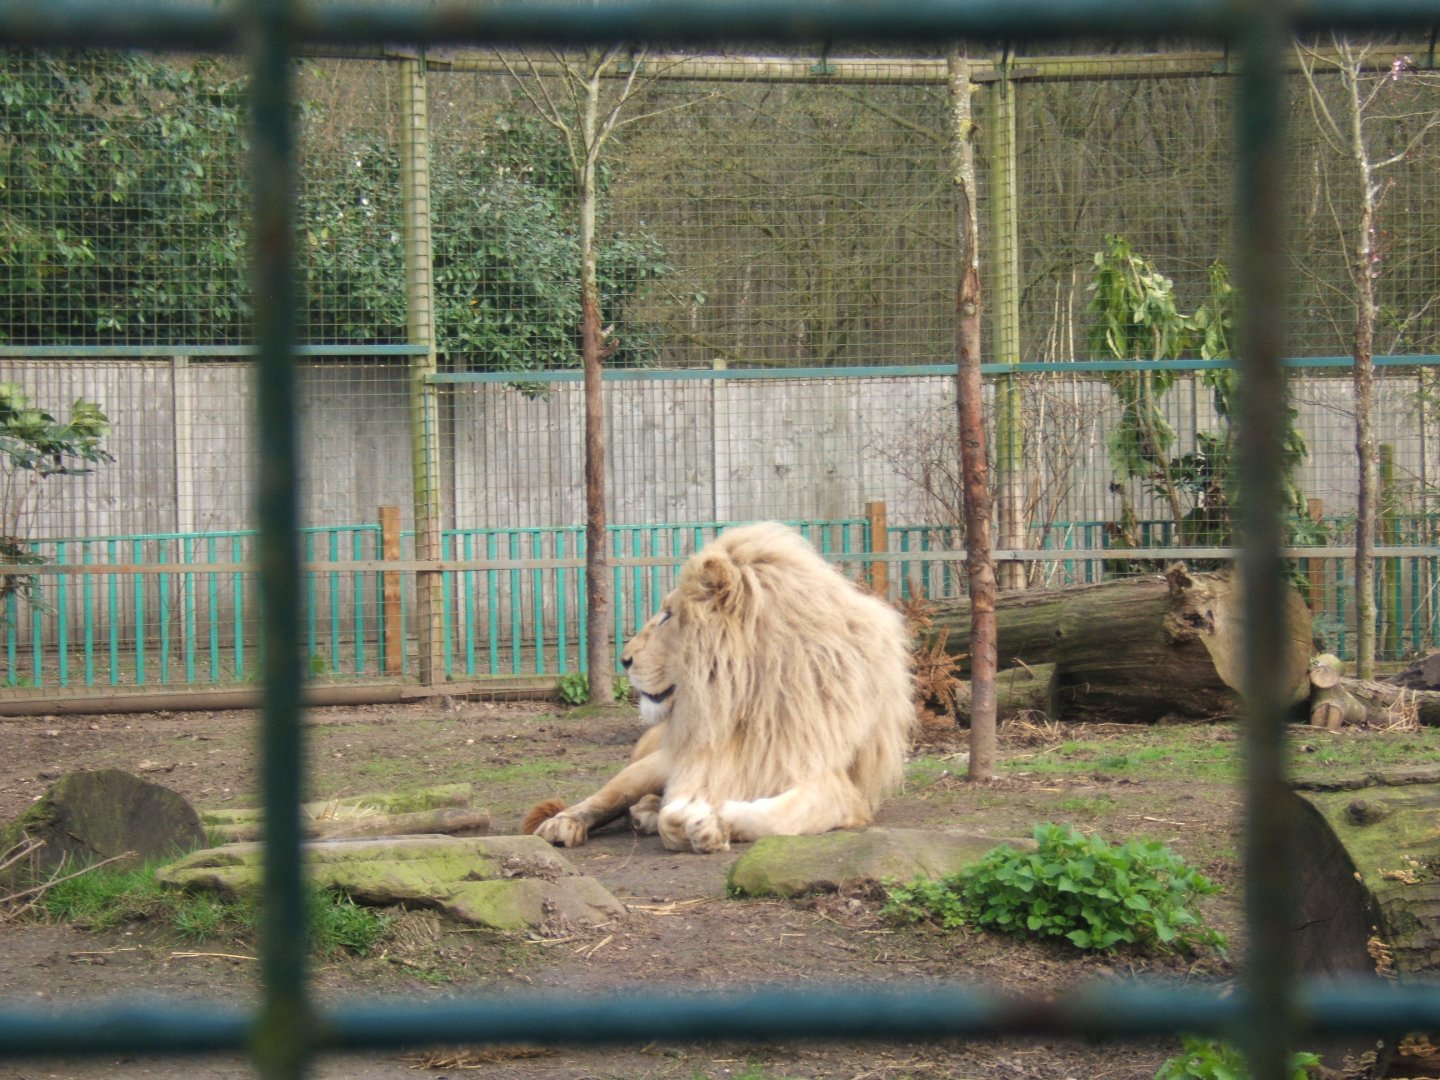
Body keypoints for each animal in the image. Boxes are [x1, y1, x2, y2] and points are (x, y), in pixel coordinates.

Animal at [521, 521, 914, 854]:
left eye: (668, 615)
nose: (624, 659)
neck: (747, 698)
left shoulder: (832, 785)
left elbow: (771, 816)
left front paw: (711, 823)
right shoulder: (701, 767)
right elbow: (672, 816)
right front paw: (689, 820)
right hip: (647, 768)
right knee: (604, 799)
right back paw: (564, 824)